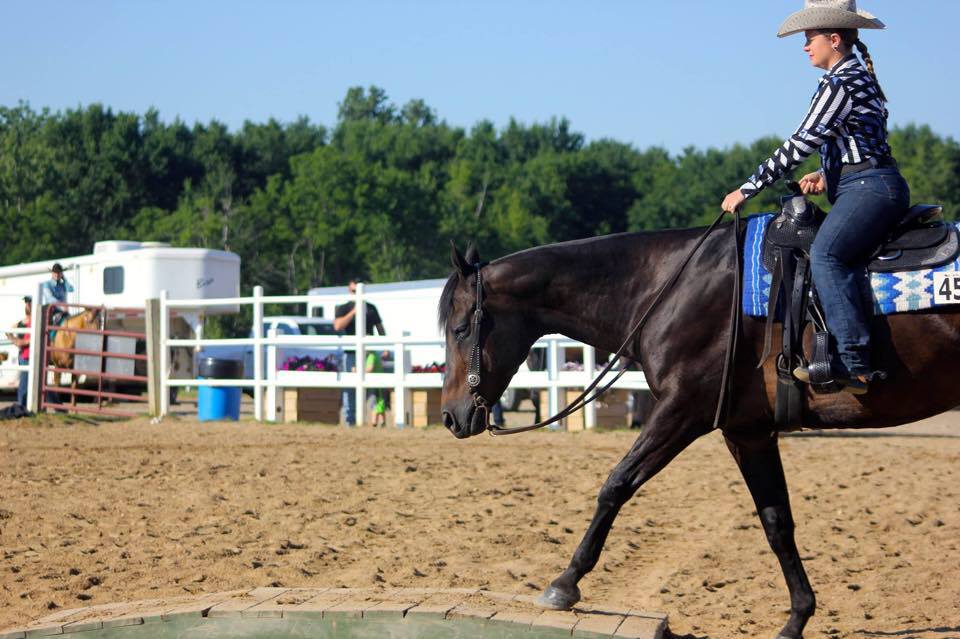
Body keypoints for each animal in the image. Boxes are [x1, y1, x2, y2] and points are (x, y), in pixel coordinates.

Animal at [436, 222, 960, 639]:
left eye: (461, 328)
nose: (450, 416)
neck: (666, 288)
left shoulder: (681, 411)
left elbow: (616, 484)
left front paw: (565, 583)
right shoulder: (746, 432)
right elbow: (777, 522)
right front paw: (797, 618)